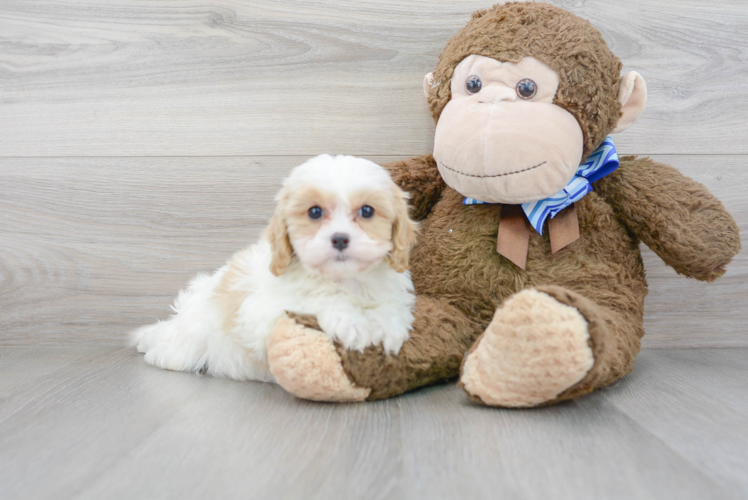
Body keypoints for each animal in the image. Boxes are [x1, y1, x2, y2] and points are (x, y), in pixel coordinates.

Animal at [132, 156, 418, 382]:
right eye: (314, 212)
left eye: (367, 211)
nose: (339, 239)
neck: (344, 279)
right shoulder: (261, 313)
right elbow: (316, 300)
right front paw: (351, 321)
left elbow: (390, 307)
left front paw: (390, 326)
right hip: (189, 341)